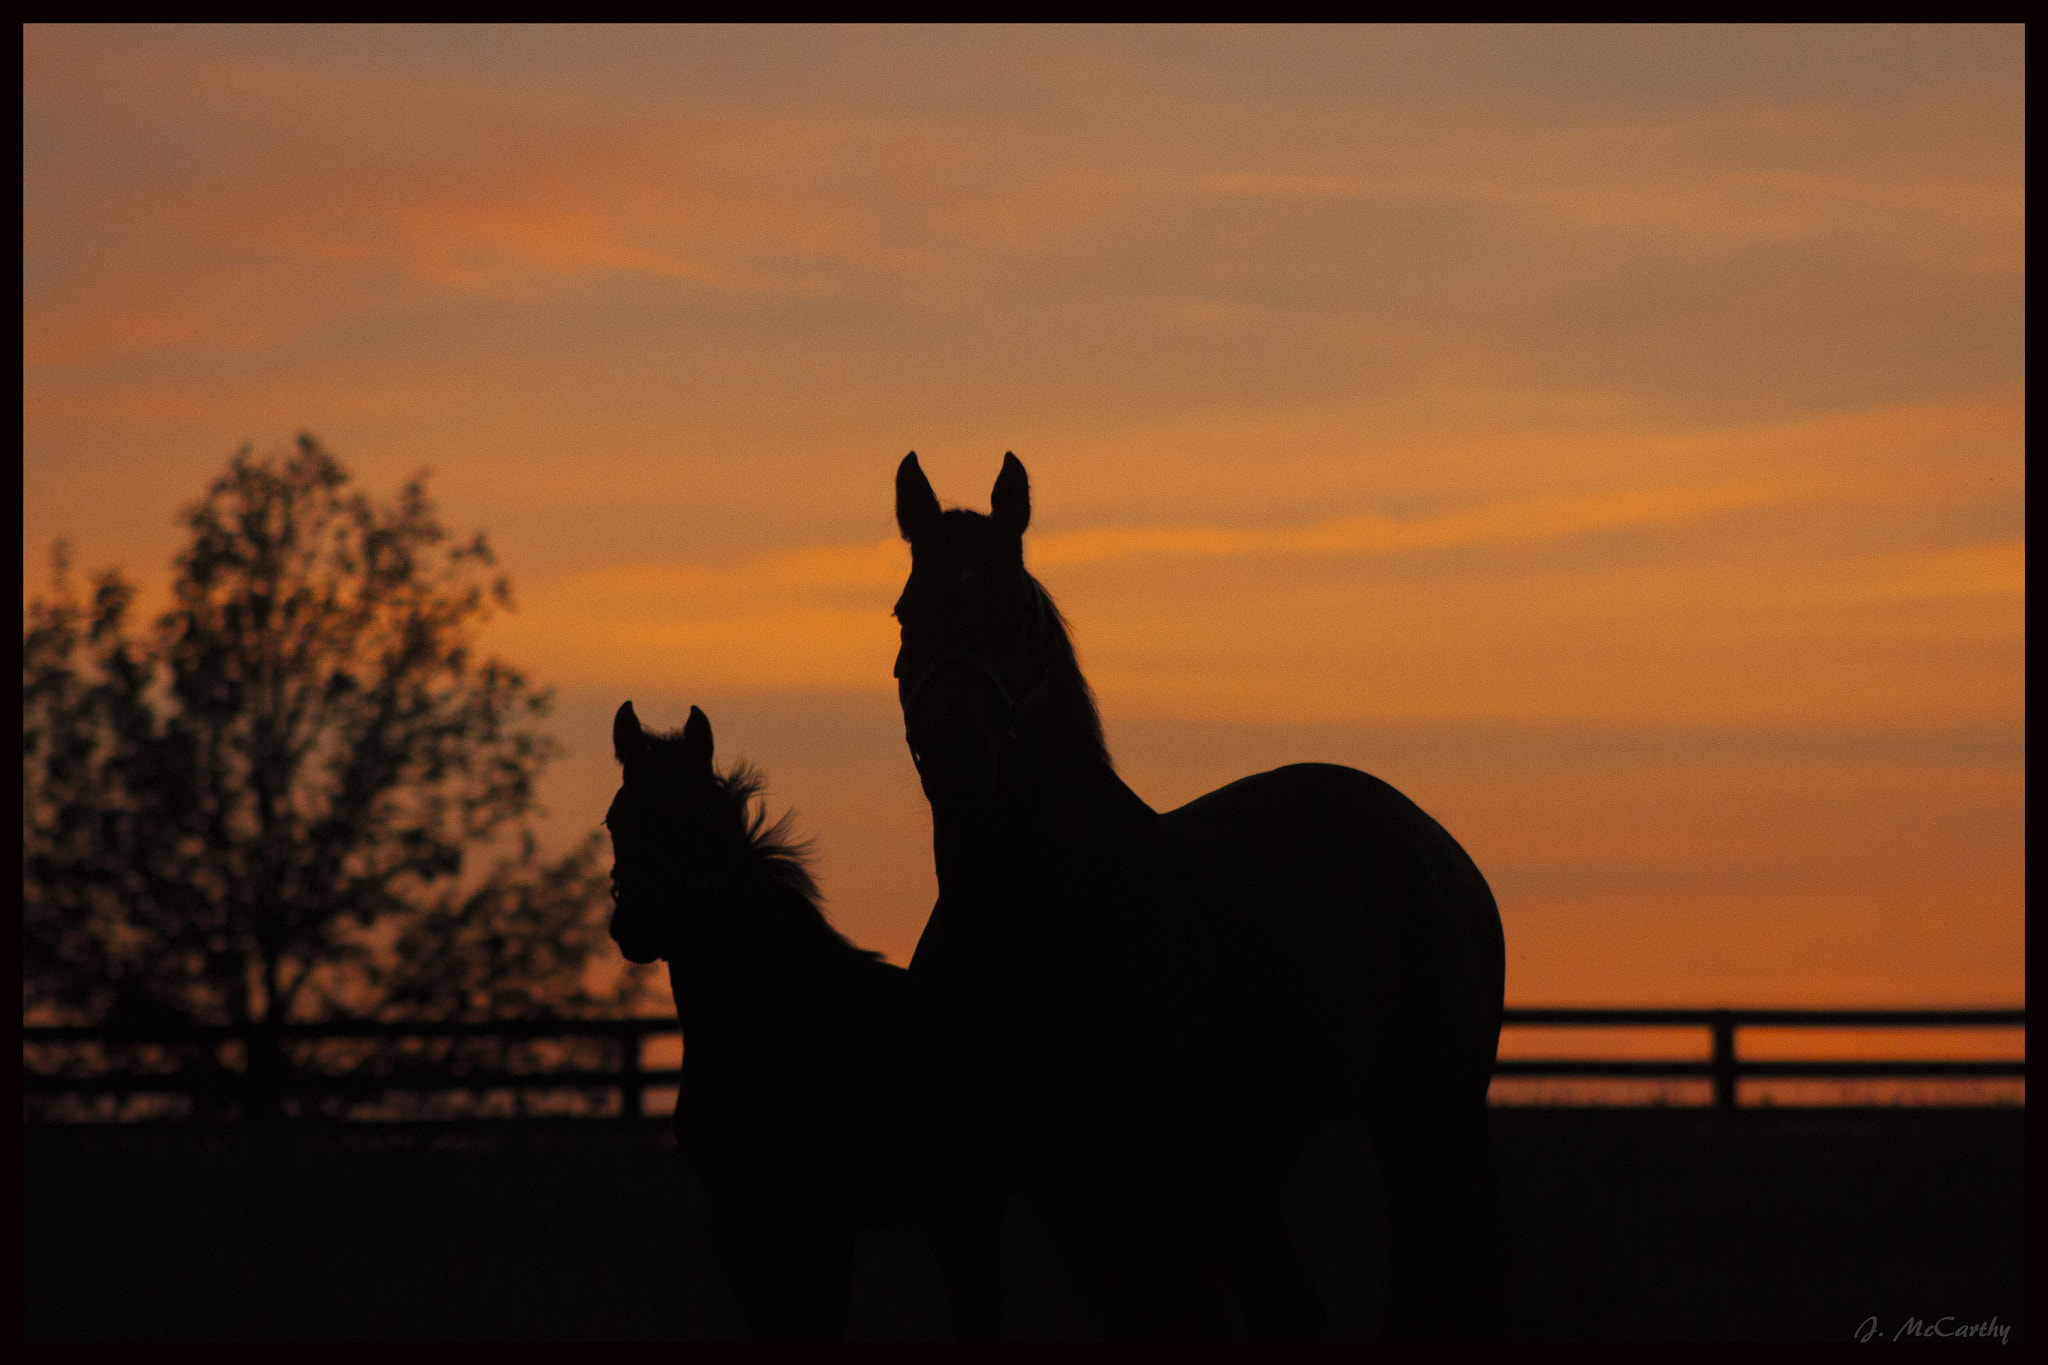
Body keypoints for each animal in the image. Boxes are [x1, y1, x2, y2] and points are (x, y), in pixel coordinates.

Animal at [892, 452, 1507, 1340]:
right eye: (908, 612)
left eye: (1016, 612)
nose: (956, 754)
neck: (1031, 933)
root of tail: (1435, 846)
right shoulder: (973, 1206)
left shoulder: (1141, 1206)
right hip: (1245, 1178)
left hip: (1422, 1124)